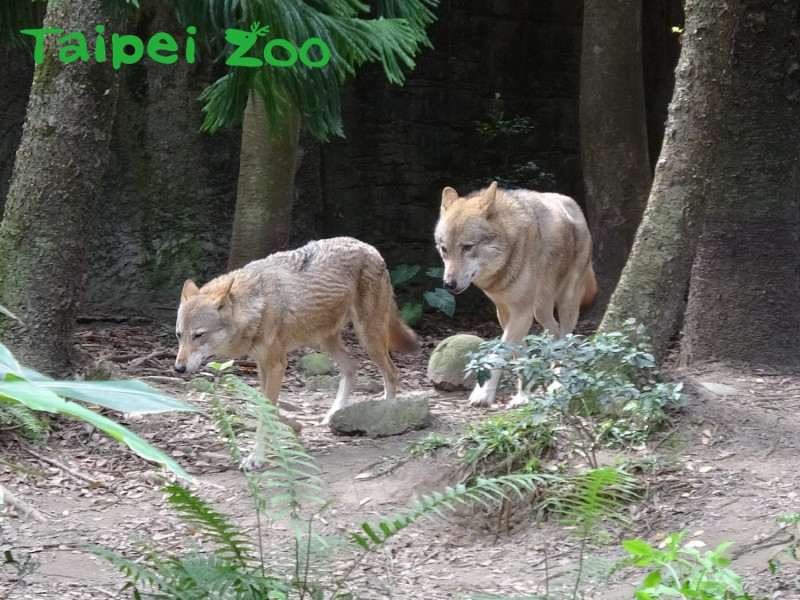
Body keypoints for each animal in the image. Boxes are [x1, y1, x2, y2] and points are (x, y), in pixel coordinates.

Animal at [174, 237, 418, 466]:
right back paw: (332, 415)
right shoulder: (263, 366)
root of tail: (369, 247)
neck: (258, 306)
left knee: (392, 372)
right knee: (352, 368)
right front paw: (296, 426)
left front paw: (256, 457)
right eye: (179, 335)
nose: (178, 368)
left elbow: (267, 411)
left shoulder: (277, 365)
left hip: (368, 339)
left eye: (199, 335)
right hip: (325, 342)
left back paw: (384, 415)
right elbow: (267, 407)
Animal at [432, 182, 592, 408]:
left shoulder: (522, 312)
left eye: (467, 247)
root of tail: (572, 203)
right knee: (555, 332)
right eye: (444, 249)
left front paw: (483, 393)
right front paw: (524, 395)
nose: (448, 284)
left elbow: (497, 352)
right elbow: (517, 354)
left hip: (566, 300)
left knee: (566, 336)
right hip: (540, 310)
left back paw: (558, 383)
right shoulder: (505, 312)